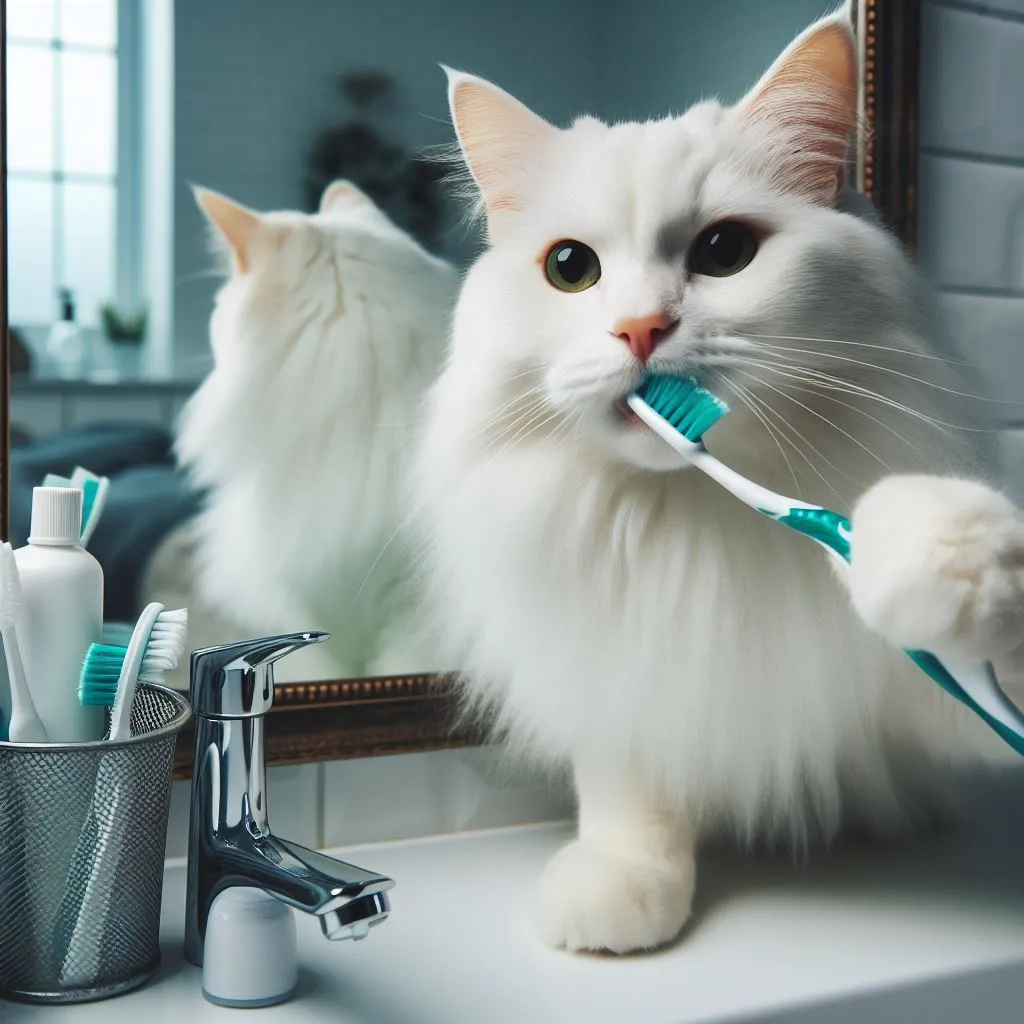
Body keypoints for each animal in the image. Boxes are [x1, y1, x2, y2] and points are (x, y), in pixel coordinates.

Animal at [413, 8, 1024, 954]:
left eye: (725, 251)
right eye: (569, 269)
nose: (639, 329)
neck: (694, 511)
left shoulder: (938, 710)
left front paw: (939, 561)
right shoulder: (623, 662)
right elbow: (630, 792)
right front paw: (621, 888)